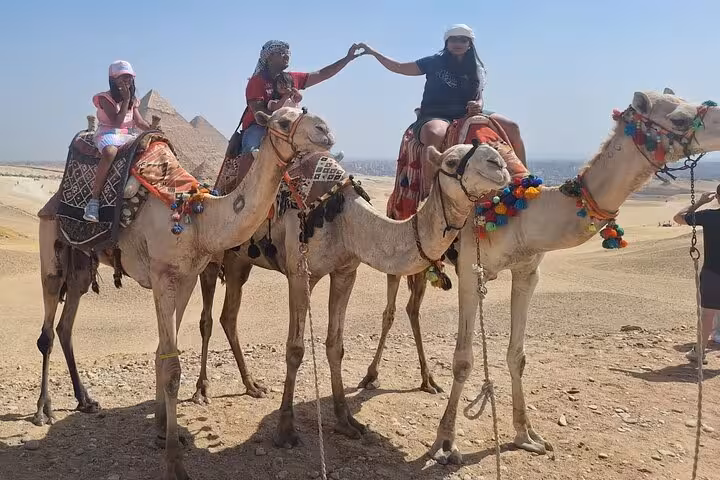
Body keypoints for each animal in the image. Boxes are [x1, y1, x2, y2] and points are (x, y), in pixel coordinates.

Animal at [32, 107, 335, 480]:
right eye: (281, 120)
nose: (324, 131)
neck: (196, 220)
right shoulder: (163, 276)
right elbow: (172, 367)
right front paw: (174, 462)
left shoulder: (188, 277)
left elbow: (163, 354)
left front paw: (164, 431)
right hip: (50, 243)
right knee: (47, 330)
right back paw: (43, 410)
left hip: (80, 262)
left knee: (66, 324)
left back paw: (85, 400)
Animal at [192, 142, 511, 447]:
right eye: (451, 162)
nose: (499, 163)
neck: (344, 218)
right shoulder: (300, 274)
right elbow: (295, 350)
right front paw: (286, 430)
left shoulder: (346, 272)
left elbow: (336, 346)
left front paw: (346, 421)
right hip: (212, 255)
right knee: (207, 318)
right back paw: (201, 390)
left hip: (240, 260)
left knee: (229, 316)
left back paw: (252, 386)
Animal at [357, 90, 720, 463]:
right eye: (678, 118)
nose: (718, 120)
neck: (517, 209)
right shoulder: (471, 271)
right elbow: (463, 360)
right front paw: (445, 443)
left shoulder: (527, 272)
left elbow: (517, 356)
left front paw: (526, 435)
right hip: (401, 239)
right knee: (390, 311)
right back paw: (371, 376)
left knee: (413, 308)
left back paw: (428, 380)